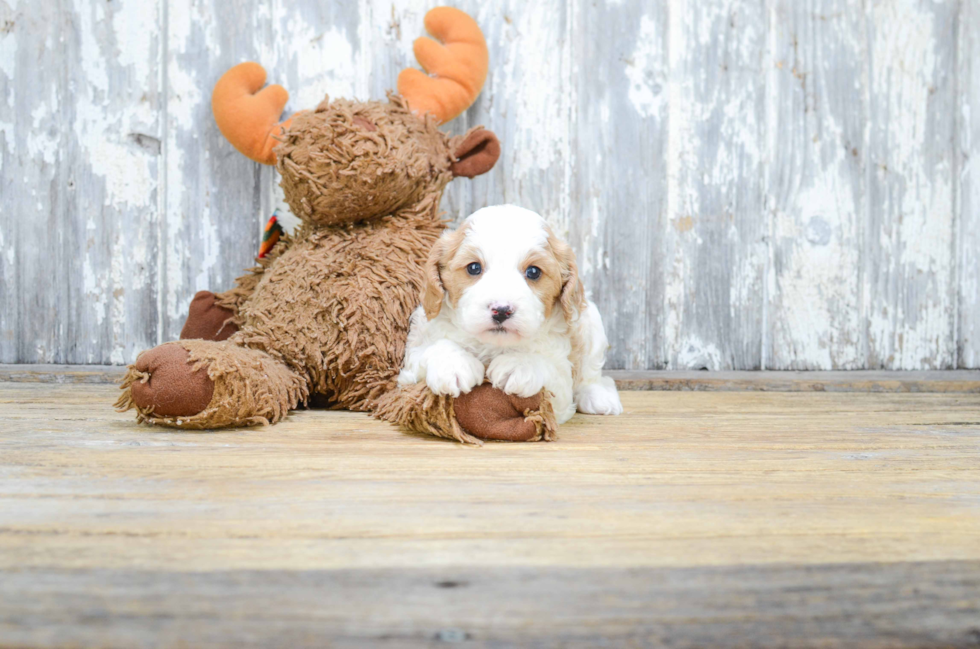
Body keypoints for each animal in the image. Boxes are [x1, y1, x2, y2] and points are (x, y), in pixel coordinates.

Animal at [396, 205, 620, 422]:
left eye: (533, 272)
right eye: (474, 267)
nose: (501, 310)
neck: (493, 345)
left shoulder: (560, 395)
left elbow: (550, 370)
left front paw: (520, 365)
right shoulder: (408, 370)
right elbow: (430, 349)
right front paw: (454, 365)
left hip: (590, 321)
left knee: (590, 372)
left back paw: (598, 397)